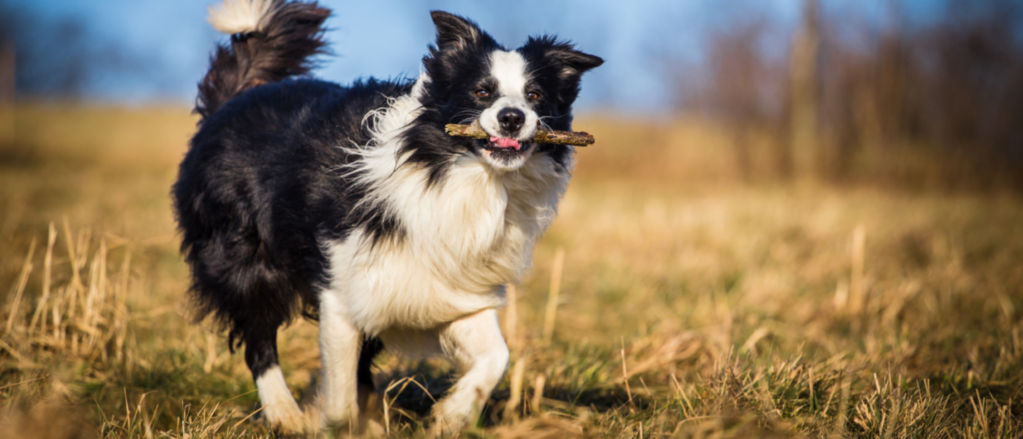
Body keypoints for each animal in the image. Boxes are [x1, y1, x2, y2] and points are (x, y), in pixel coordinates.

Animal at [168, 0, 597, 431]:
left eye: (535, 94)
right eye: (481, 91)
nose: (512, 117)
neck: (463, 177)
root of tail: (237, 97)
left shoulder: (451, 289)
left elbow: (497, 357)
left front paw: (452, 415)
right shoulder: (342, 290)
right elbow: (340, 400)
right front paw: (335, 426)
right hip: (246, 261)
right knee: (259, 340)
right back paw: (285, 414)